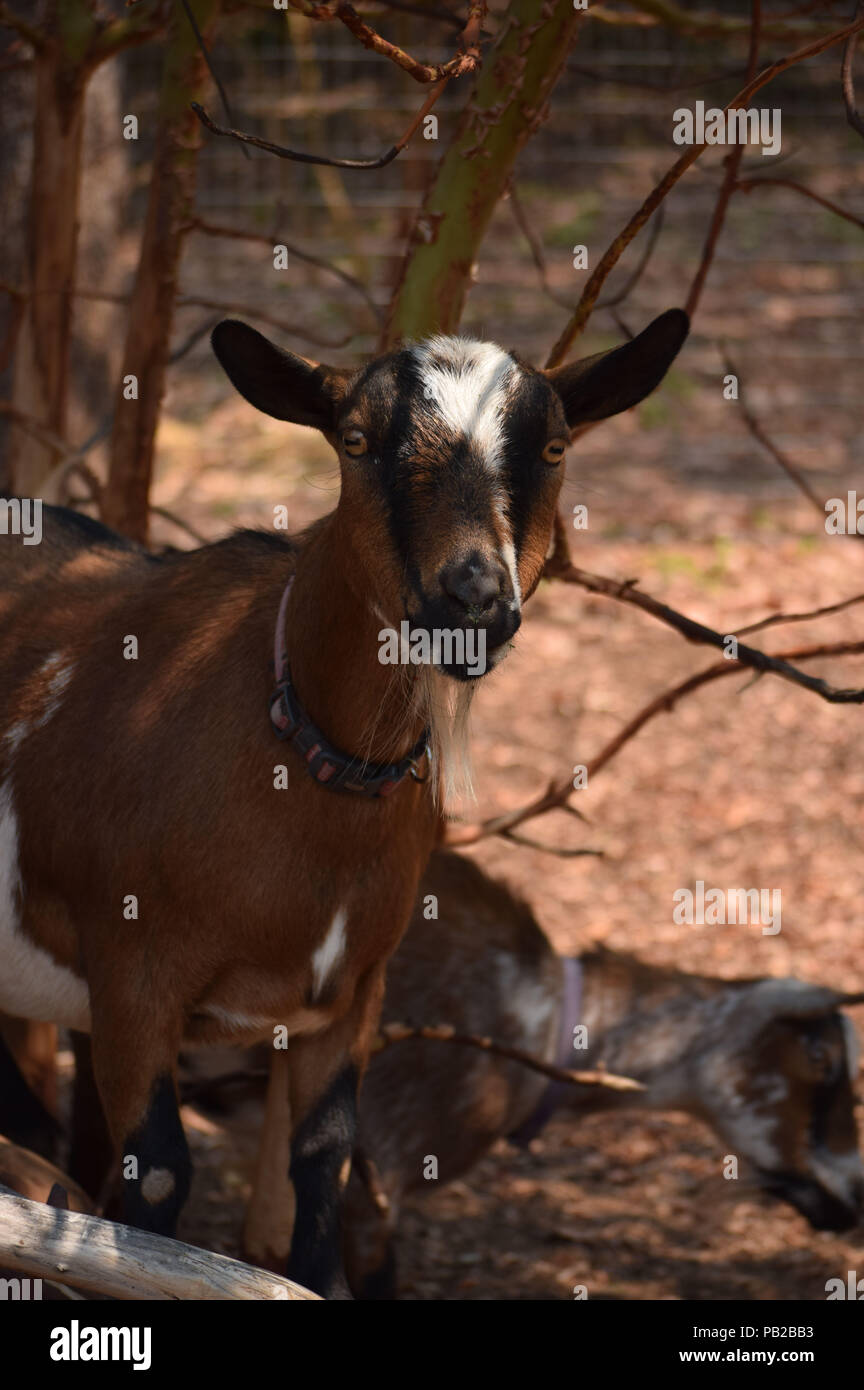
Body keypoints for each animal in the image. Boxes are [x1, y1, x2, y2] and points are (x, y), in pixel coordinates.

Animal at [0, 311, 688, 1296]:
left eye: (555, 446)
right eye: (356, 442)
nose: (471, 599)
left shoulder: (353, 994)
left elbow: (322, 1161)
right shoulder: (133, 978)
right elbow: (160, 1176)